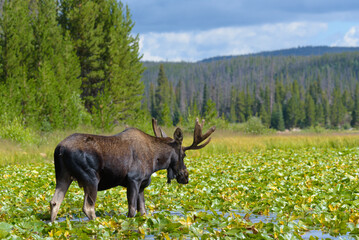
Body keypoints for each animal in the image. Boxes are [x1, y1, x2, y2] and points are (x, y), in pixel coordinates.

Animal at [49, 118, 215, 221]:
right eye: (184, 154)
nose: (185, 176)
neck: (156, 160)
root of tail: (59, 149)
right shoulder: (133, 180)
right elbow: (132, 211)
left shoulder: (142, 185)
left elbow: (143, 211)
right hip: (91, 178)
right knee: (88, 207)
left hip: (63, 176)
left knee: (55, 202)